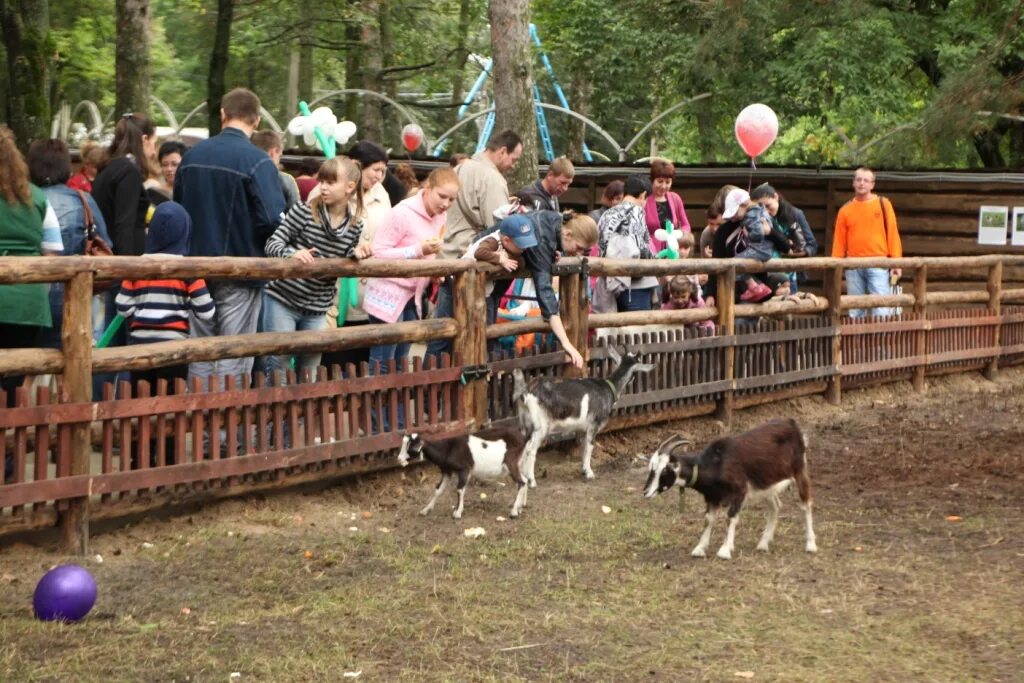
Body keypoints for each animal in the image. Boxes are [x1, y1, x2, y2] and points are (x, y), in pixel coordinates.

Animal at [395, 428, 528, 518]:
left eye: (410, 447)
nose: (399, 458)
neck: (448, 449)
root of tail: (522, 438)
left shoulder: (464, 469)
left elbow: (459, 489)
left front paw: (457, 512)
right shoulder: (447, 472)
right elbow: (438, 490)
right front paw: (425, 510)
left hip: (511, 463)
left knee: (521, 482)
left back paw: (514, 512)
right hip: (518, 463)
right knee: (525, 480)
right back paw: (520, 507)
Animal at [512, 348, 655, 485]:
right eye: (635, 372)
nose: (633, 380)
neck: (608, 388)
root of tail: (526, 391)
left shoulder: (581, 428)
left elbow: (583, 448)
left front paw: (583, 470)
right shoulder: (594, 425)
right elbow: (590, 446)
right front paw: (590, 473)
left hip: (525, 423)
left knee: (523, 447)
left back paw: (523, 478)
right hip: (541, 426)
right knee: (530, 450)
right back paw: (532, 481)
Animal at [643, 419, 819, 565]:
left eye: (665, 470)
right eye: (651, 468)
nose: (645, 492)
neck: (716, 464)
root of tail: (792, 424)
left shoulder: (739, 491)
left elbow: (731, 518)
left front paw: (725, 550)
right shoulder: (712, 497)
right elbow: (708, 519)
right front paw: (699, 548)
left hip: (799, 470)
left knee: (806, 504)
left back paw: (810, 544)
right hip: (766, 484)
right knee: (775, 506)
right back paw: (763, 544)